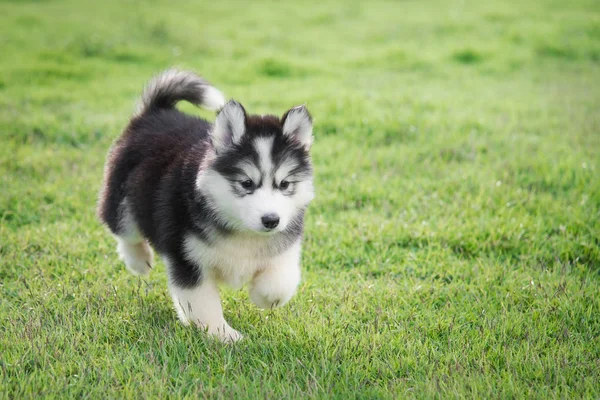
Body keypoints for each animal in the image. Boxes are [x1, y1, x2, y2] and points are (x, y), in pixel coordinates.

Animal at [97, 69, 314, 340]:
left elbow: (280, 283)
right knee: (124, 230)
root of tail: (158, 111)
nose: (271, 220)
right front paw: (223, 335)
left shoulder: (284, 246)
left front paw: (262, 297)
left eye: (284, 184)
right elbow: (203, 302)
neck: (241, 231)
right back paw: (139, 260)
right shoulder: (187, 259)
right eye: (246, 183)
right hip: (120, 197)